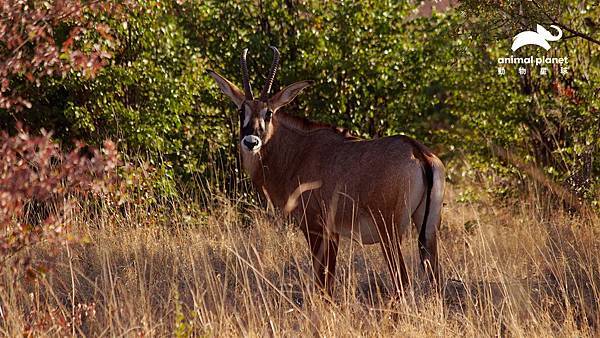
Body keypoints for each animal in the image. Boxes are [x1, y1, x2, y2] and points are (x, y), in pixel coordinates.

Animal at [207, 46, 446, 296]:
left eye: (268, 113)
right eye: (240, 111)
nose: (251, 142)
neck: (297, 152)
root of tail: (418, 152)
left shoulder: (316, 228)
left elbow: (323, 282)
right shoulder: (333, 233)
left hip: (389, 233)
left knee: (403, 281)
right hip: (428, 231)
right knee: (435, 279)